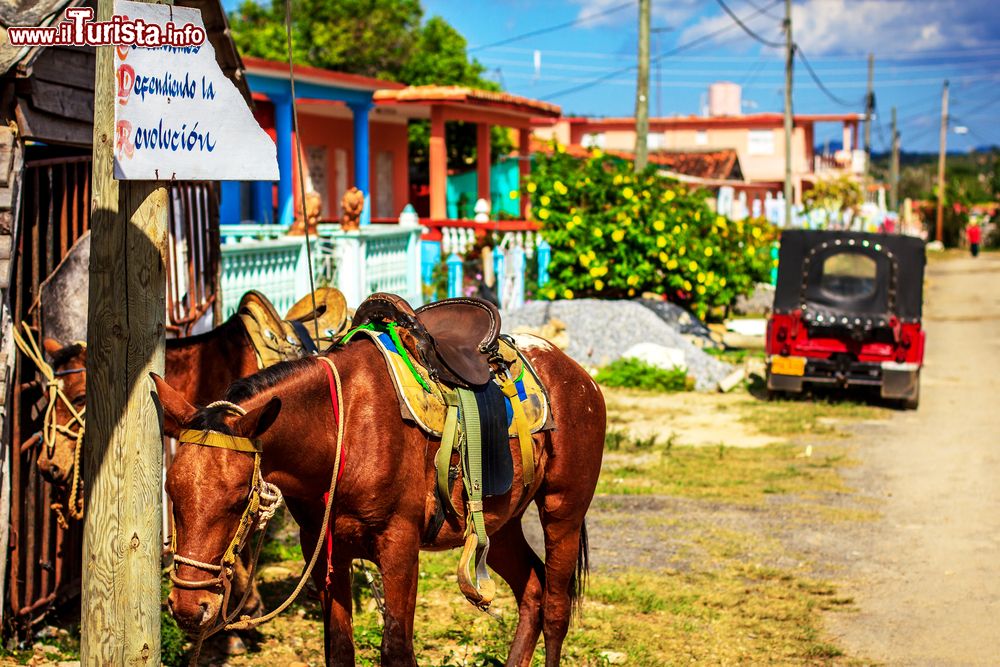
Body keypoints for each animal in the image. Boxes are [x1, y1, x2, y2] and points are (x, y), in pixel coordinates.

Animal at [158, 334, 600, 667]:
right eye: (172, 494)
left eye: (238, 501)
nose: (188, 607)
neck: (343, 429)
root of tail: (576, 374)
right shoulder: (325, 551)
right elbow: (339, 649)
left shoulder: (400, 548)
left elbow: (397, 650)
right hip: (501, 524)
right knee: (533, 592)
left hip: (563, 511)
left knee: (556, 608)